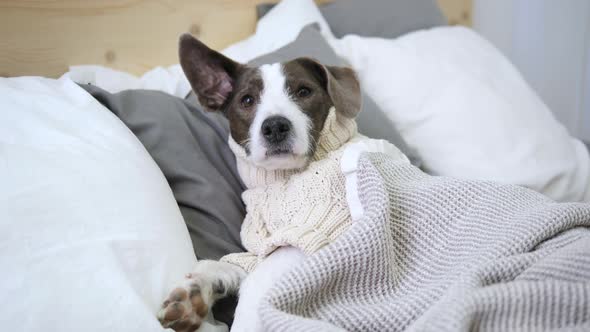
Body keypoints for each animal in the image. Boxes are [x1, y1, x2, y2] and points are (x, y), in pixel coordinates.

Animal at [157, 34, 404, 332]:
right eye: (247, 99)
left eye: (304, 91)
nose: (275, 126)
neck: (281, 181)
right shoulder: (262, 250)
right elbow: (222, 266)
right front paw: (194, 294)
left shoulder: (309, 236)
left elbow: (254, 293)